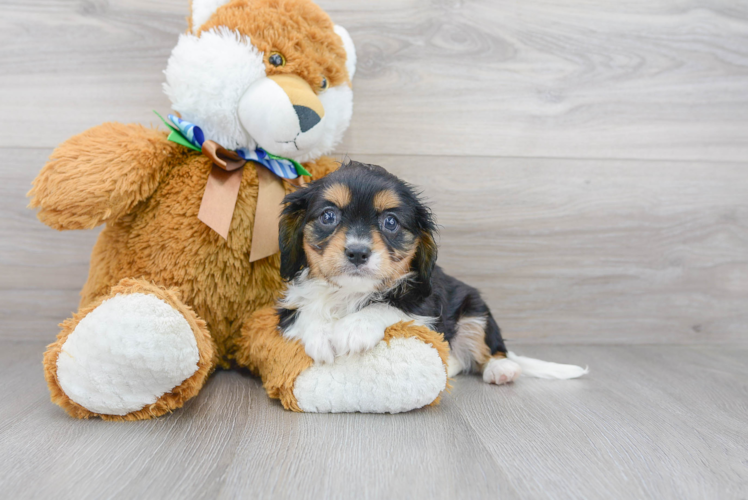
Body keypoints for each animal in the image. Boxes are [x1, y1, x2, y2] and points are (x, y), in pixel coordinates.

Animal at [278, 160, 588, 382]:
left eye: (390, 222)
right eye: (328, 216)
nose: (357, 252)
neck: (349, 293)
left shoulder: (426, 304)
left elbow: (389, 306)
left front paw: (355, 328)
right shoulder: (287, 304)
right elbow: (302, 311)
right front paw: (319, 335)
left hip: (477, 311)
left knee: (492, 349)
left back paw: (502, 370)